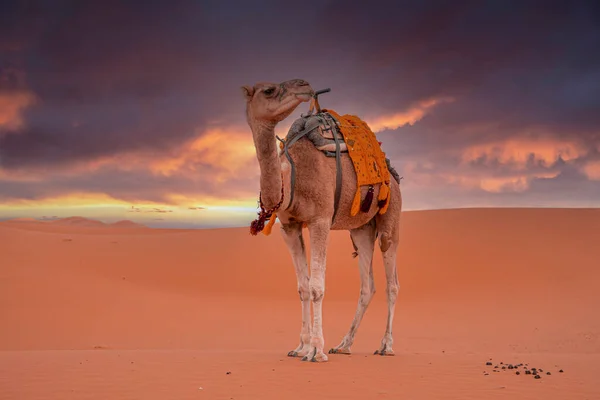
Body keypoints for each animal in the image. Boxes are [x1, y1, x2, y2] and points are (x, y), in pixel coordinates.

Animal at [240, 79, 404, 362]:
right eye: (269, 90)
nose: (304, 85)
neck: (292, 177)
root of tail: (392, 174)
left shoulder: (320, 219)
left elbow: (317, 287)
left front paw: (316, 350)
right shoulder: (289, 226)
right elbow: (303, 288)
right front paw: (300, 347)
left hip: (390, 217)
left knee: (391, 283)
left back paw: (386, 346)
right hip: (361, 228)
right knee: (367, 285)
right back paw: (344, 344)